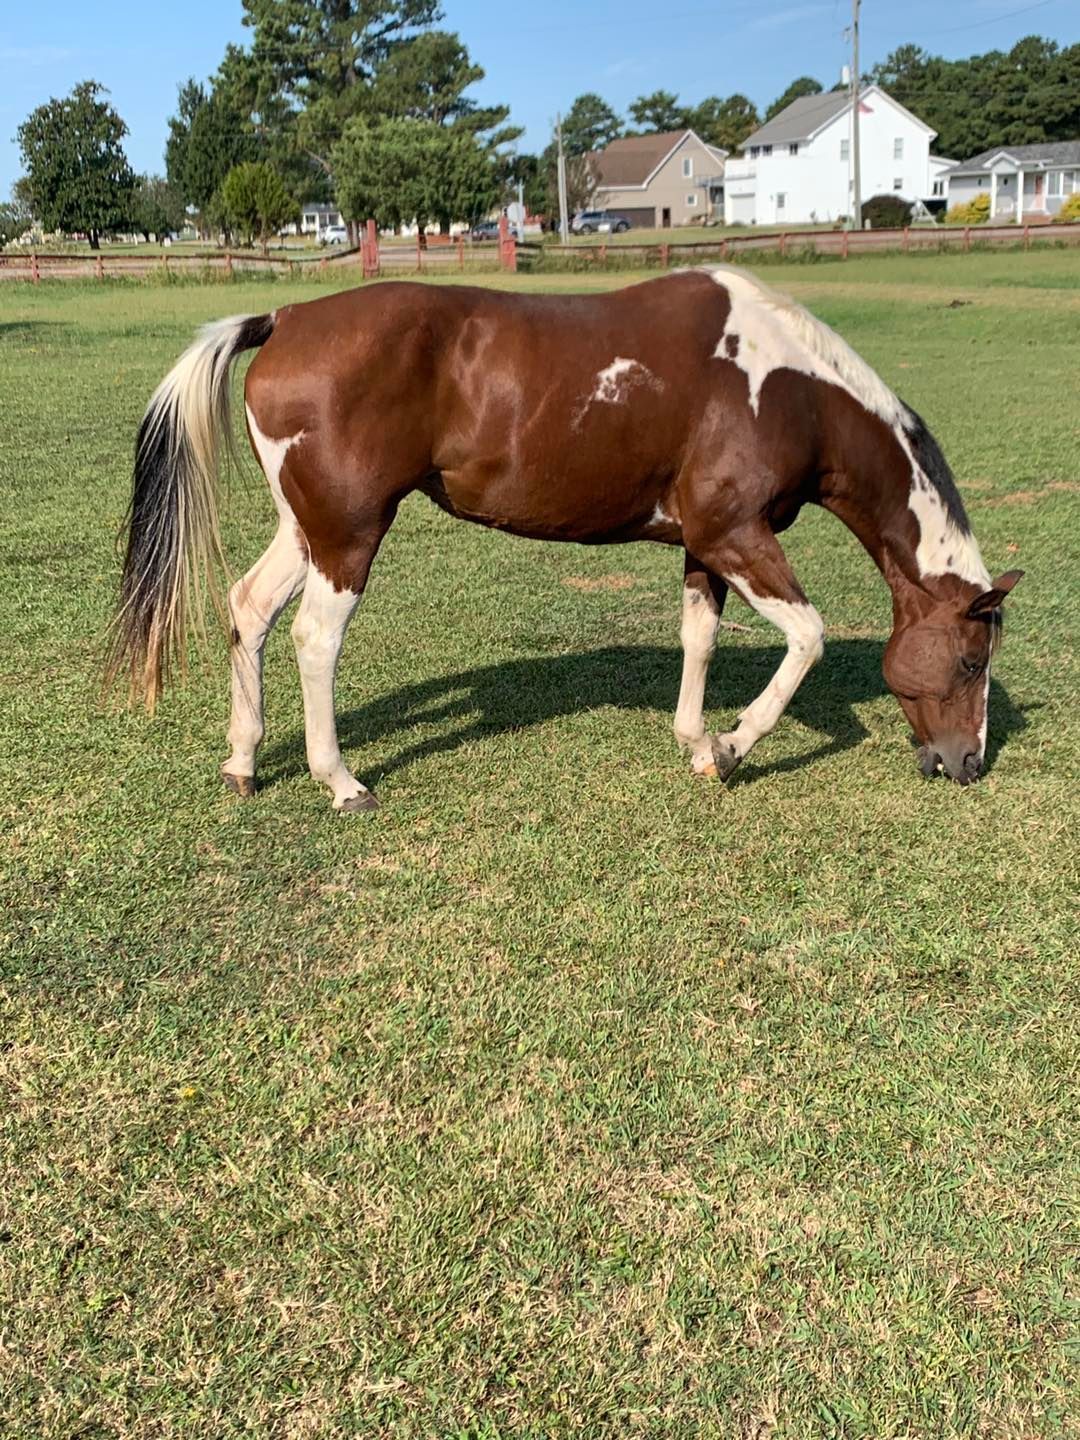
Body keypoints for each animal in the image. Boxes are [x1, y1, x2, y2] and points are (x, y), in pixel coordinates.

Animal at [108, 267, 1022, 812]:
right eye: (971, 661)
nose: (968, 763)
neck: (787, 387)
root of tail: (288, 318)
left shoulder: (704, 545)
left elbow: (699, 639)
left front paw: (695, 740)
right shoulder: (736, 533)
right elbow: (809, 637)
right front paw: (731, 748)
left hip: (307, 527)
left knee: (250, 610)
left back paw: (243, 761)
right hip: (348, 533)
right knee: (313, 636)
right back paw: (340, 780)